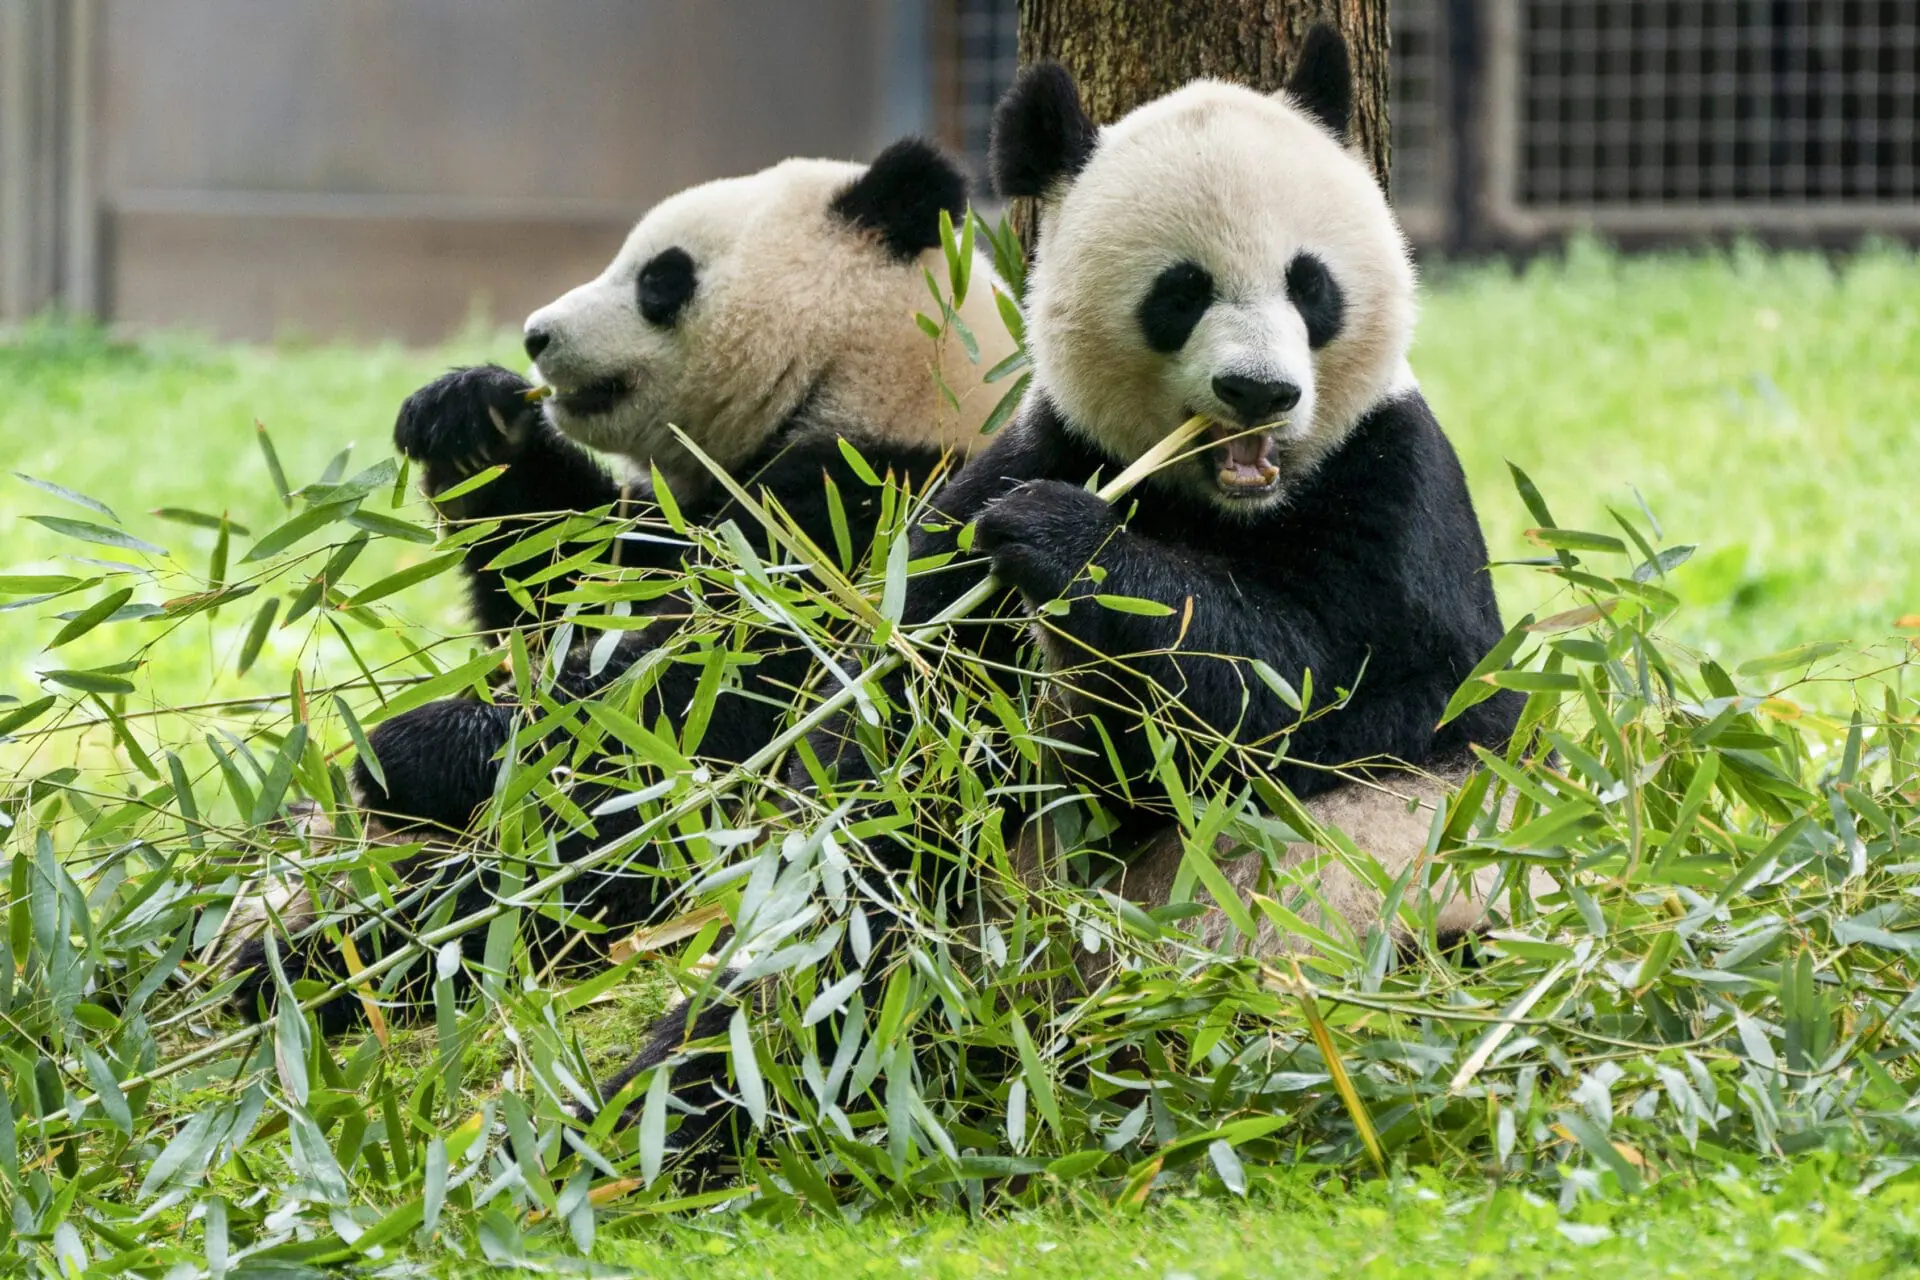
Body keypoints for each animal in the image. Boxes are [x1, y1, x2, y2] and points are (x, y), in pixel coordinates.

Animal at [224, 140, 1021, 1028]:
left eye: (659, 279)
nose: (536, 335)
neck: (875, 380)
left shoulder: (871, 518)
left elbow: (702, 704)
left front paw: (409, 748)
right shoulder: (681, 513)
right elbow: (555, 588)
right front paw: (469, 418)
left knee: (539, 886)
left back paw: (309, 964)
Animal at [591, 22, 1536, 1182]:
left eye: (1311, 286)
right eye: (1181, 291)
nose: (1260, 393)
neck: (1219, 502)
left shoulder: (1397, 492)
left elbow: (1322, 693)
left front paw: (1069, 545)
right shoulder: (1019, 462)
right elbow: (902, 735)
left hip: (1388, 908)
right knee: (841, 960)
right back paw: (672, 1109)